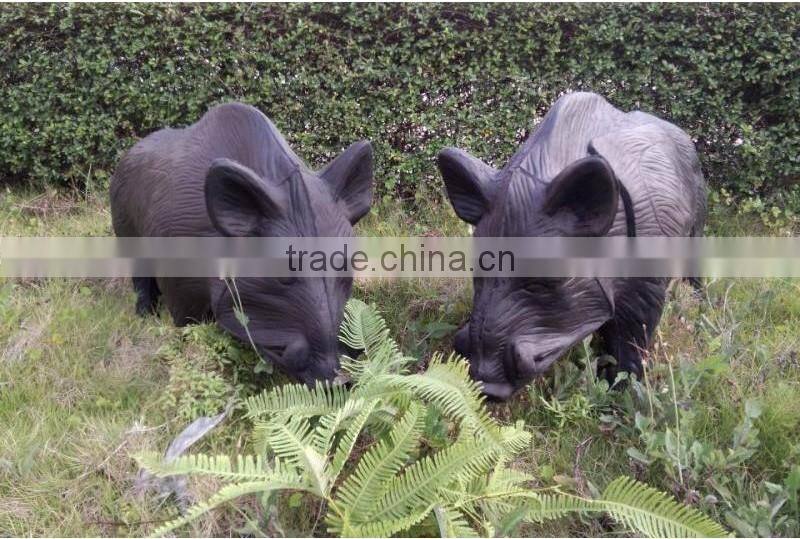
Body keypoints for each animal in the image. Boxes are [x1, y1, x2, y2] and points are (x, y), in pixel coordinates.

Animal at [111, 102, 373, 385]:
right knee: (139, 277)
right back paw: (144, 316)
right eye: (281, 272)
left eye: (346, 266)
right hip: (124, 232)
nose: (341, 379)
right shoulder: (177, 283)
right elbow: (185, 324)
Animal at [438, 92, 706, 400]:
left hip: (699, 221)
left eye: (543, 281)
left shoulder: (648, 282)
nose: (486, 388)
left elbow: (632, 341)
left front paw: (619, 394)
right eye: (477, 273)